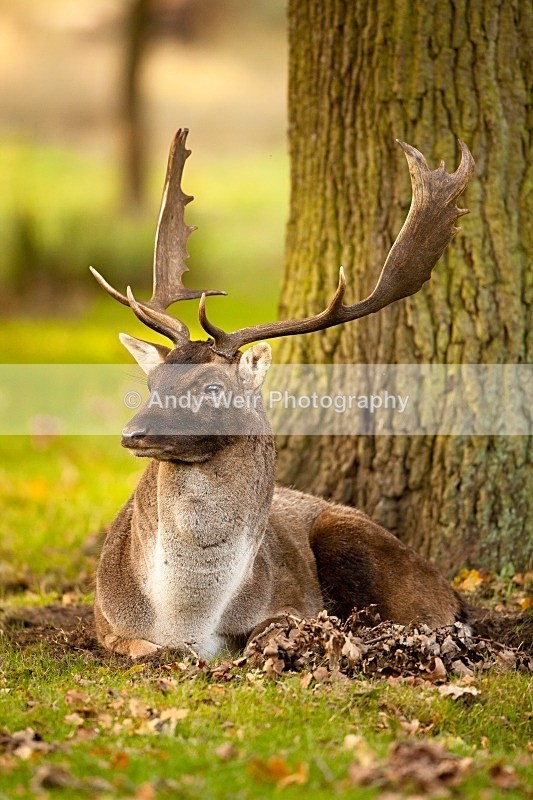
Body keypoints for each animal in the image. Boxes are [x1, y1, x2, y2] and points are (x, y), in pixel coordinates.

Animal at [91, 129, 474, 659]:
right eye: (152, 382)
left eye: (213, 386)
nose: (134, 433)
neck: (187, 618)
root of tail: (455, 592)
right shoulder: (102, 620)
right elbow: (146, 649)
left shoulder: (293, 602)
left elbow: (267, 632)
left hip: (354, 539)